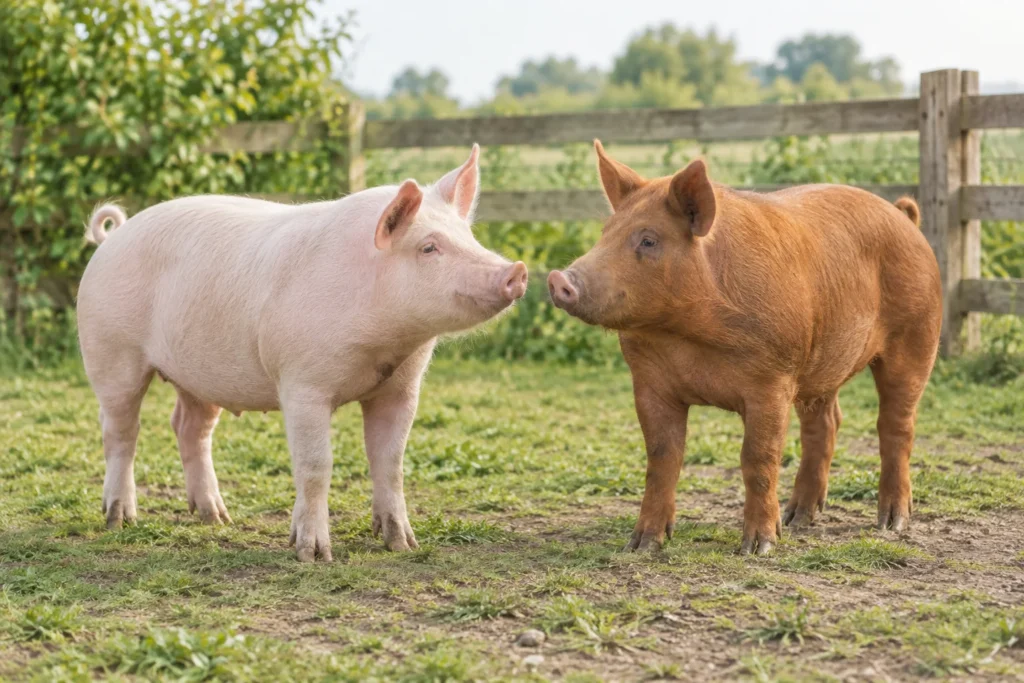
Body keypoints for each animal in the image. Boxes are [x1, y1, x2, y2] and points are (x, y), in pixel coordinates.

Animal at [77, 145, 528, 562]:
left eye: (469, 237)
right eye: (429, 247)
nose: (517, 270)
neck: (384, 344)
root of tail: (112, 237)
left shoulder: (400, 388)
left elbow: (391, 463)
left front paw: (401, 544)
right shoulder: (302, 383)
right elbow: (315, 466)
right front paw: (313, 555)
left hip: (198, 375)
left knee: (189, 428)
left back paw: (216, 517)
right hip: (110, 353)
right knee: (120, 430)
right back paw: (119, 519)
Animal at [548, 140, 941, 555]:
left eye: (649, 240)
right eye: (604, 233)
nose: (559, 278)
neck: (689, 337)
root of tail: (904, 217)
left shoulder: (772, 379)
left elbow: (758, 459)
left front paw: (758, 547)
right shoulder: (649, 384)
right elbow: (661, 457)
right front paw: (642, 546)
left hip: (917, 336)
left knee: (896, 425)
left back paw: (891, 523)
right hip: (821, 361)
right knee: (825, 424)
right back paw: (799, 519)